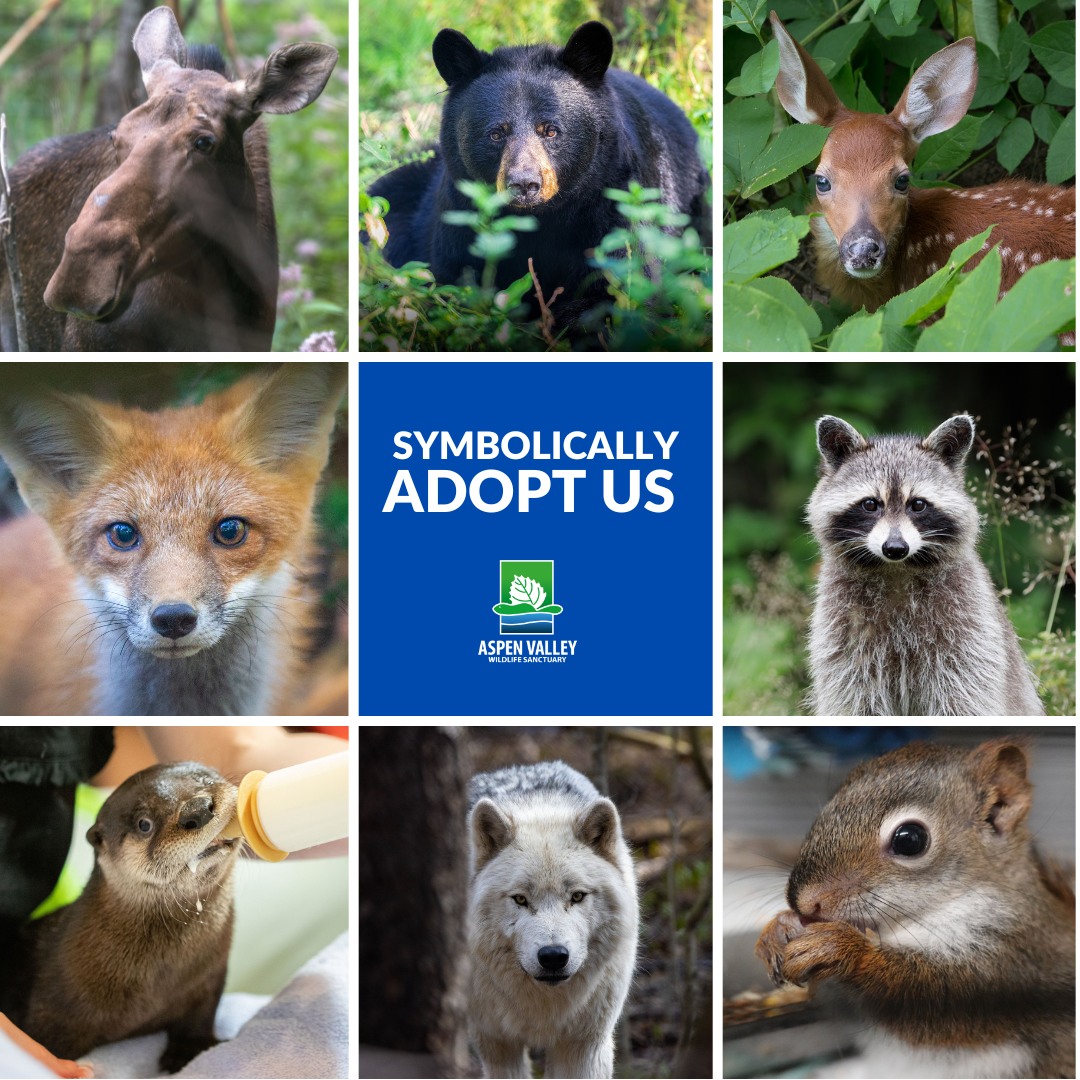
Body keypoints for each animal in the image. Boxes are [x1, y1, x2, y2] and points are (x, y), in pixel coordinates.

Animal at [467, 760, 638, 1079]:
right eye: (521, 899)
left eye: (577, 896)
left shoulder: (583, 1048)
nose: (553, 956)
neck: (544, 1006)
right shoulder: (497, 1045)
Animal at [806, 413, 1043, 716]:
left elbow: (965, 698)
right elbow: (855, 699)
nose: (895, 548)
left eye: (918, 504)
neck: (896, 569)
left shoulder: (969, 629)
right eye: (870, 504)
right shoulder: (843, 635)